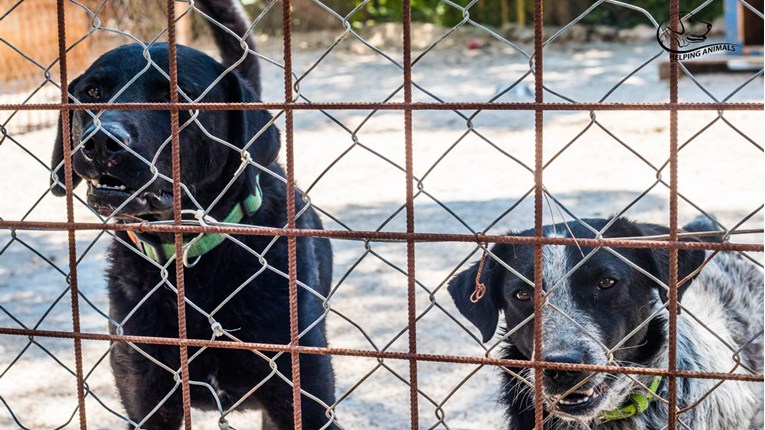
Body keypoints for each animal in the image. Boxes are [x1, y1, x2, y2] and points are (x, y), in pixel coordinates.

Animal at [48, 1, 334, 428]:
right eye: (92, 92)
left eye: (180, 98)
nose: (100, 140)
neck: (193, 263)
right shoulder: (147, 405)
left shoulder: (304, 401)